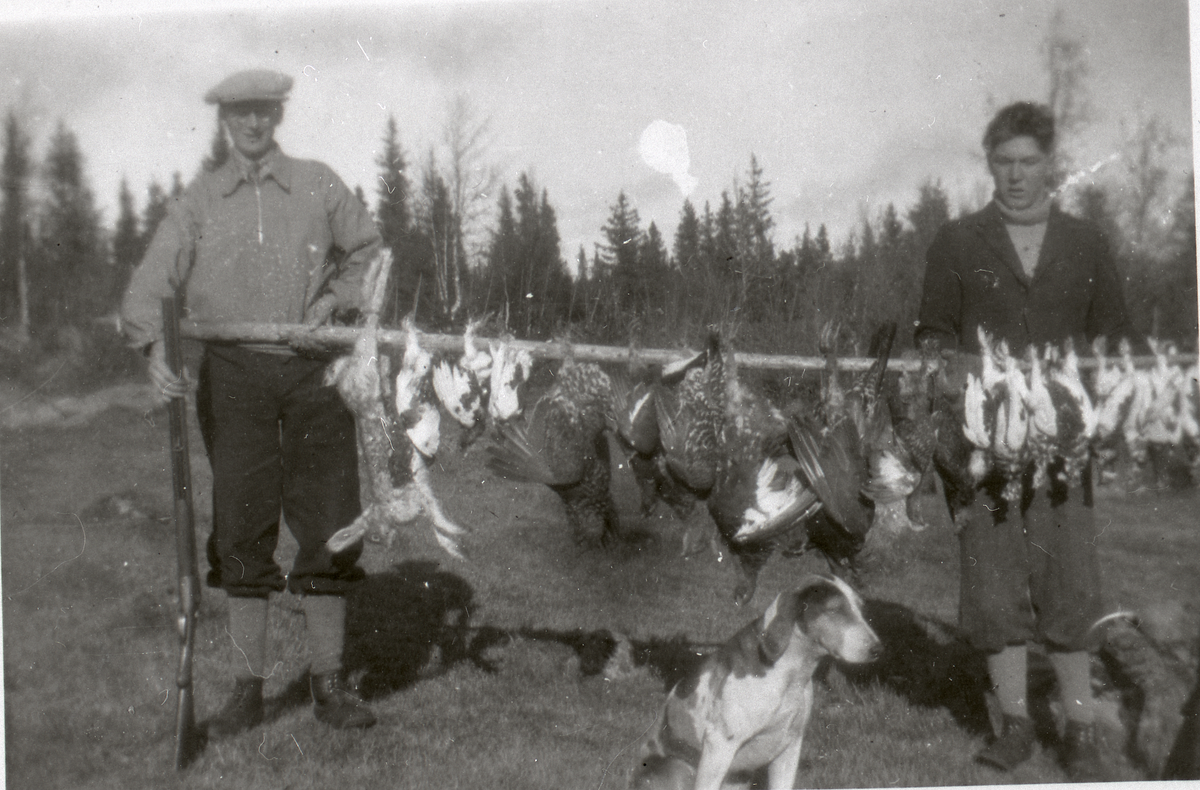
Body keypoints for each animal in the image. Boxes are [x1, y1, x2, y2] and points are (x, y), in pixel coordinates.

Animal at [628, 571, 883, 787]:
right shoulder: (719, 747)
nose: (878, 649)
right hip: (679, 768)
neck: (790, 674)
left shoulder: (790, 747)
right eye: (834, 610)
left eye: (860, 609)